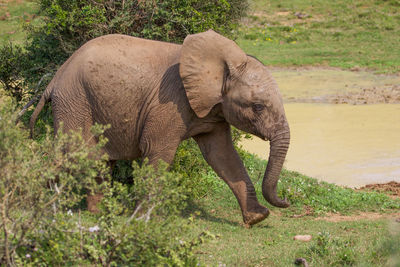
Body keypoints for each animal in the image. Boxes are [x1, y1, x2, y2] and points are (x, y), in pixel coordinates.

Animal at [28, 29, 290, 228]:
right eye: (258, 107)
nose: (287, 201)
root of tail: (54, 80)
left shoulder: (213, 110)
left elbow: (221, 155)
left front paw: (257, 218)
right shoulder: (169, 102)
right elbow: (157, 149)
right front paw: (145, 219)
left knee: (96, 160)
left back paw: (98, 211)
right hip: (75, 101)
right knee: (78, 156)